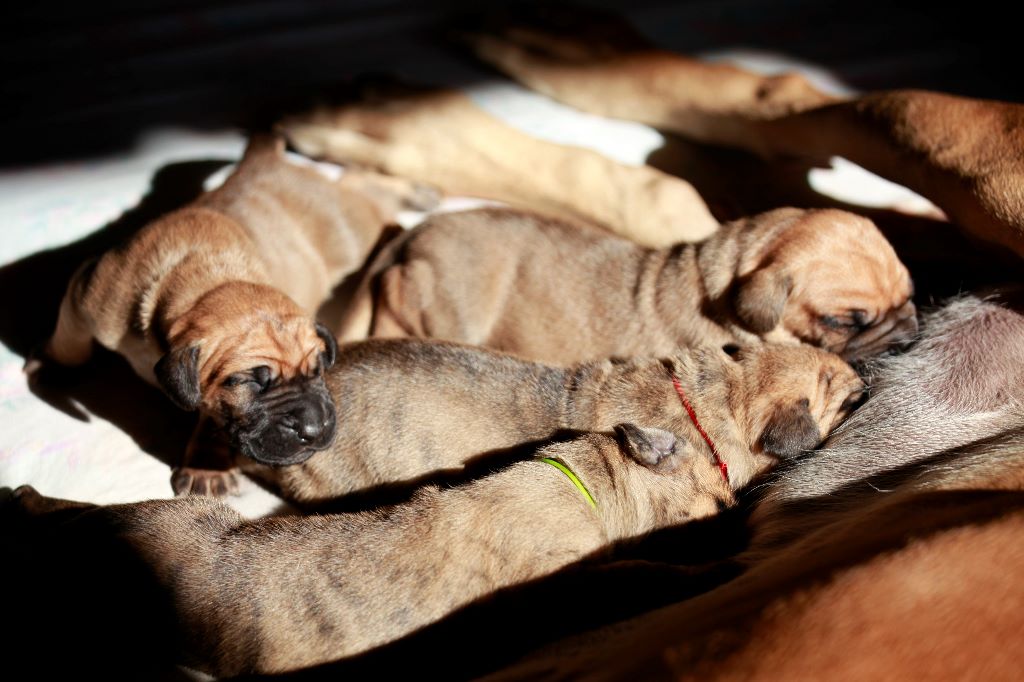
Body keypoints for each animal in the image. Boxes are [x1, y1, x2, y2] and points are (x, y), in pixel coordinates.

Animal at [6, 425, 737, 675]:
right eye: (721, 492)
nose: (738, 514)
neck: (586, 476)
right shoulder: (575, 573)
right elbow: (638, 568)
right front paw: (704, 567)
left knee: (67, 512)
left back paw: (26, 498)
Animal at [342, 204, 913, 364]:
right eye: (845, 322)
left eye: (909, 297)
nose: (908, 335)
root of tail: (413, 233)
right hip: (443, 301)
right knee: (395, 294)